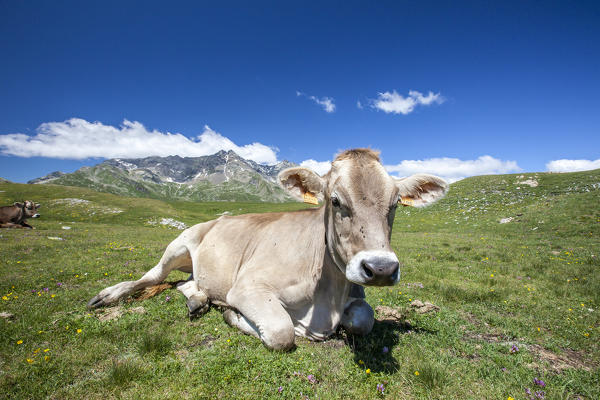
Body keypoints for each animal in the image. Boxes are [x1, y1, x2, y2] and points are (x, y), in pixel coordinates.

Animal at [86, 150, 448, 350]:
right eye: (334, 200)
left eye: (394, 204)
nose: (381, 269)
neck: (325, 294)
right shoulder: (249, 287)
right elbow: (281, 331)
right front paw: (233, 314)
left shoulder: (356, 297)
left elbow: (364, 318)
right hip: (178, 245)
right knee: (150, 278)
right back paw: (108, 296)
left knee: (187, 283)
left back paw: (198, 300)